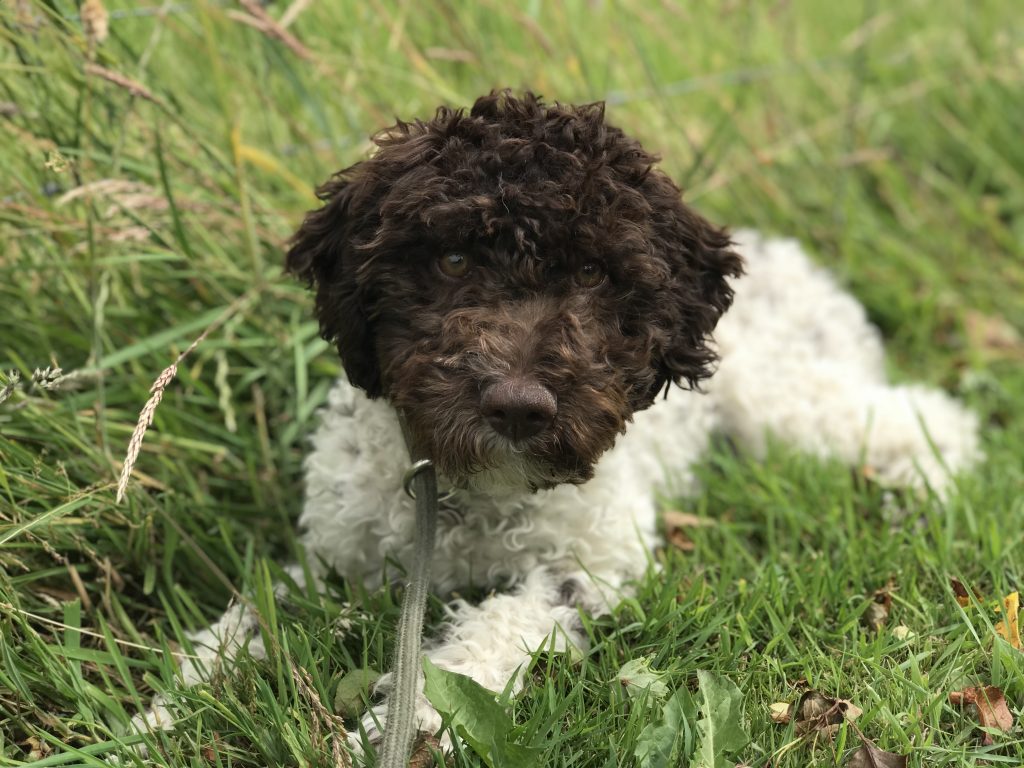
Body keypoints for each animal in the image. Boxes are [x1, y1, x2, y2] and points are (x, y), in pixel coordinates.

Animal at [132, 90, 978, 757]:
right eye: (451, 261)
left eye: (596, 274)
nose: (516, 406)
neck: (472, 504)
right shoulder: (336, 559)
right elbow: (243, 628)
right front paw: (156, 723)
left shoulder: (589, 561)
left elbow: (488, 635)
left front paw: (410, 726)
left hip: (778, 399)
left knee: (919, 416)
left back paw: (929, 485)